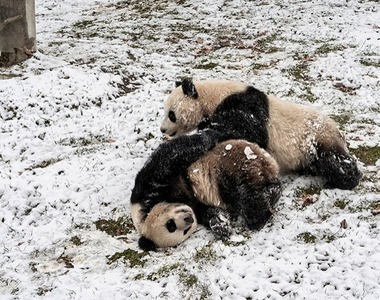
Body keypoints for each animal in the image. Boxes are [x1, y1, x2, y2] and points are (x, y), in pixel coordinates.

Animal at [129, 131, 280, 251]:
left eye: (170, 225)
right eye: (181, 231)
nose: (188, 219)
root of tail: (266, 166)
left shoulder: (146, 188)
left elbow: (170, 157)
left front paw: (209, 135)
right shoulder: (197, 206)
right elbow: (210, 212)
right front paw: (220, 225)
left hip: (234, 164)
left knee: (243, 193)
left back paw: (259, 218)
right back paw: (271, 193)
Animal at [160, 77, 362, 190]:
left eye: (171, 114)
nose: (162, 129)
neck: (211, 96)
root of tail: (338, 131)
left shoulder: (242, 105)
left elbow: (248, 132)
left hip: (316, 138)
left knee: (333, 159)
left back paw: (346, 179)